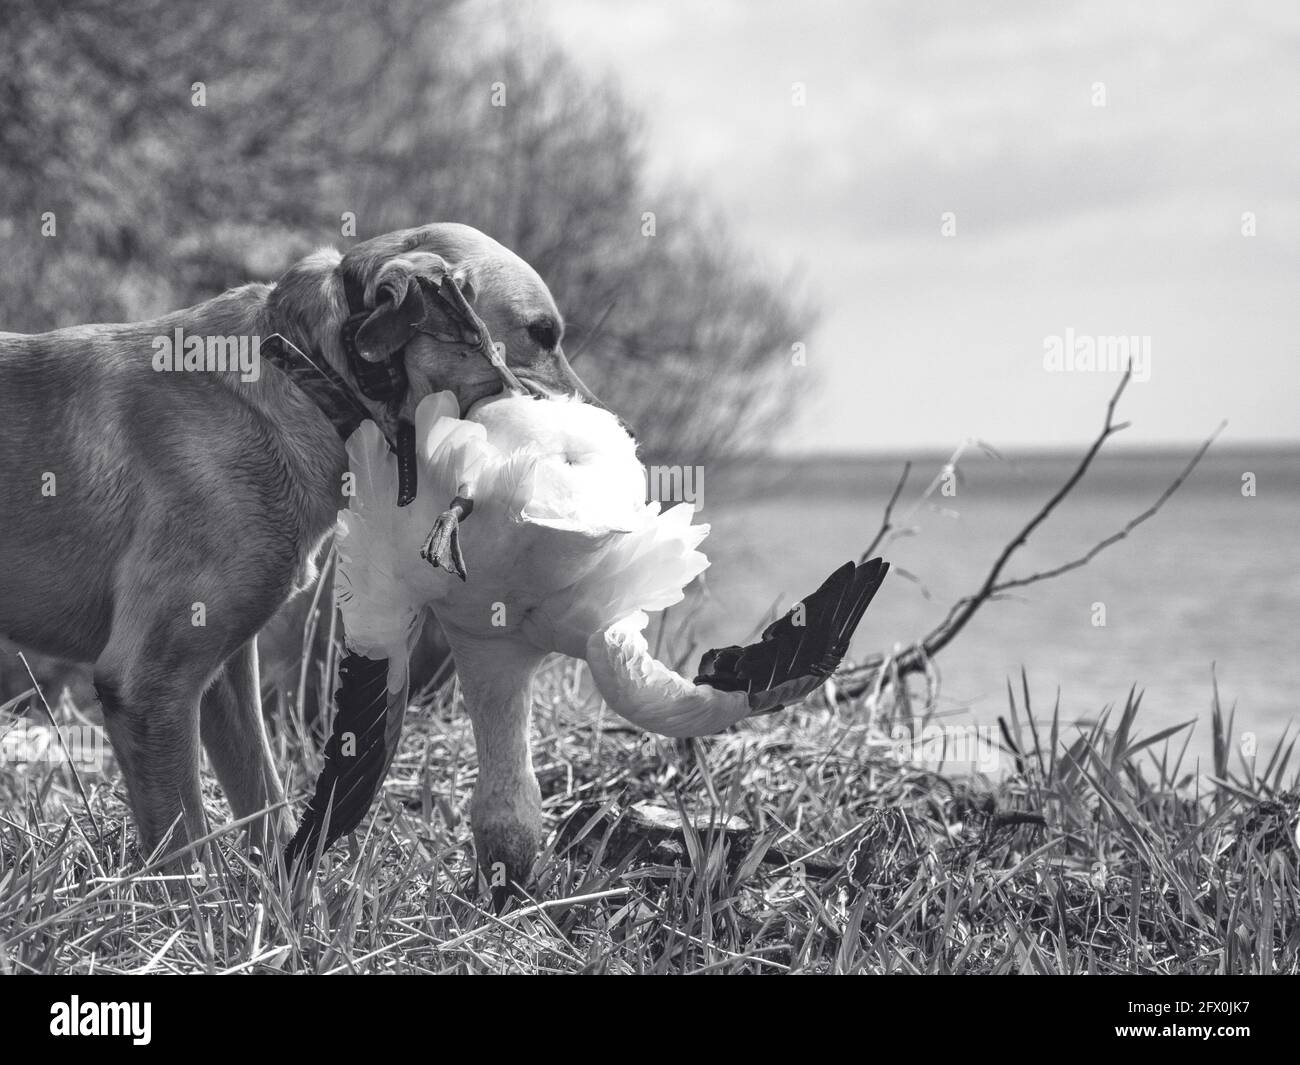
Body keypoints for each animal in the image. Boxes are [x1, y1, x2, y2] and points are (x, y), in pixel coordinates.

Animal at [0, 222, 598, 868]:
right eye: (541, 334)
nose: (621, 435)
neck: (307, 378)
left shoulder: (221, 678)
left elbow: (267, 803)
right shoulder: (147, 683)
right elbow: (186, 852)